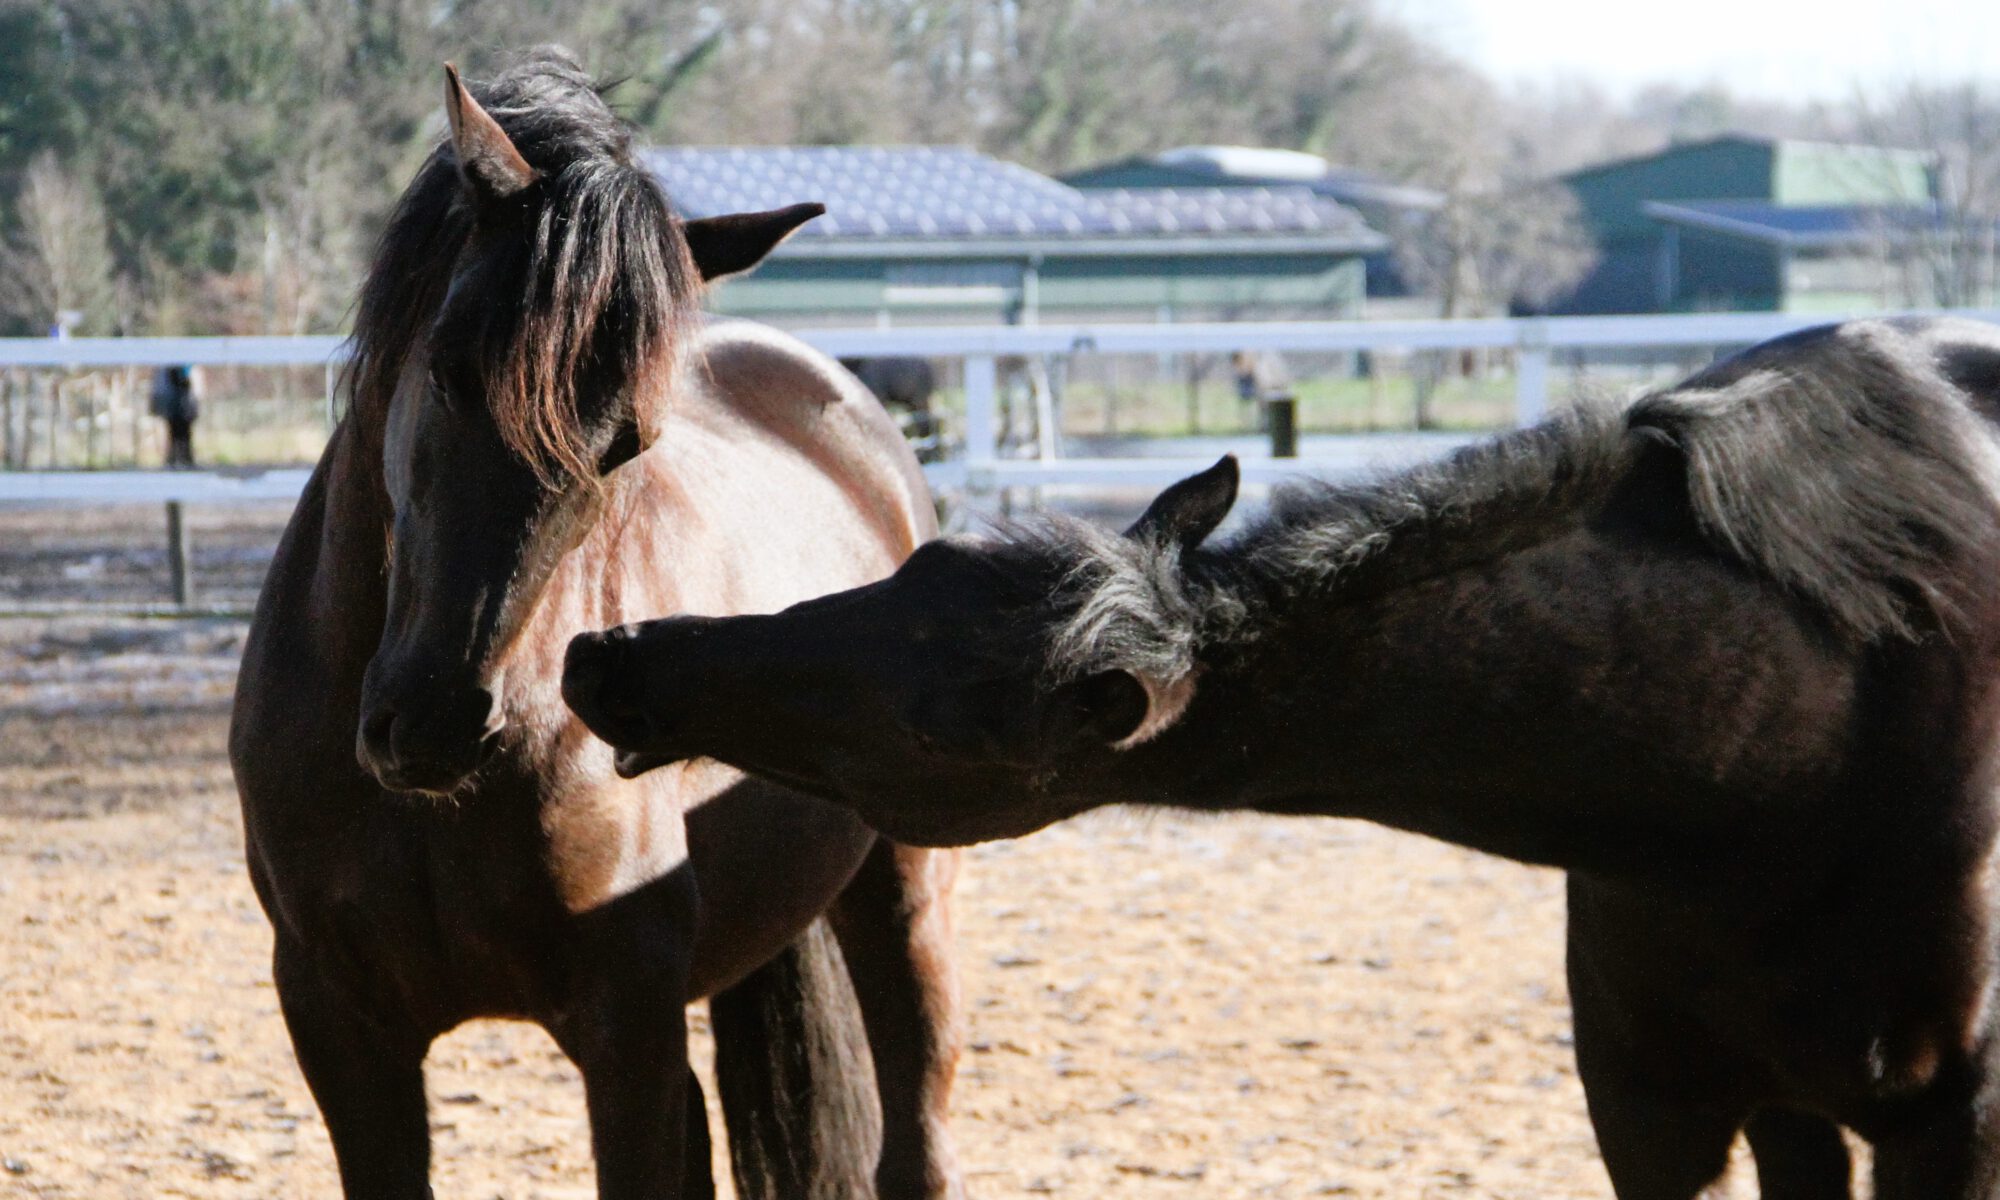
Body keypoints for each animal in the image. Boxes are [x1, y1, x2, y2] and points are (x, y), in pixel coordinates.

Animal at [227, 51, 960, 1192]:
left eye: (628, 440)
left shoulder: (628, 1038)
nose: (436, 722)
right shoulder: (342, 1031)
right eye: (447, 367)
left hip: (901, 891)